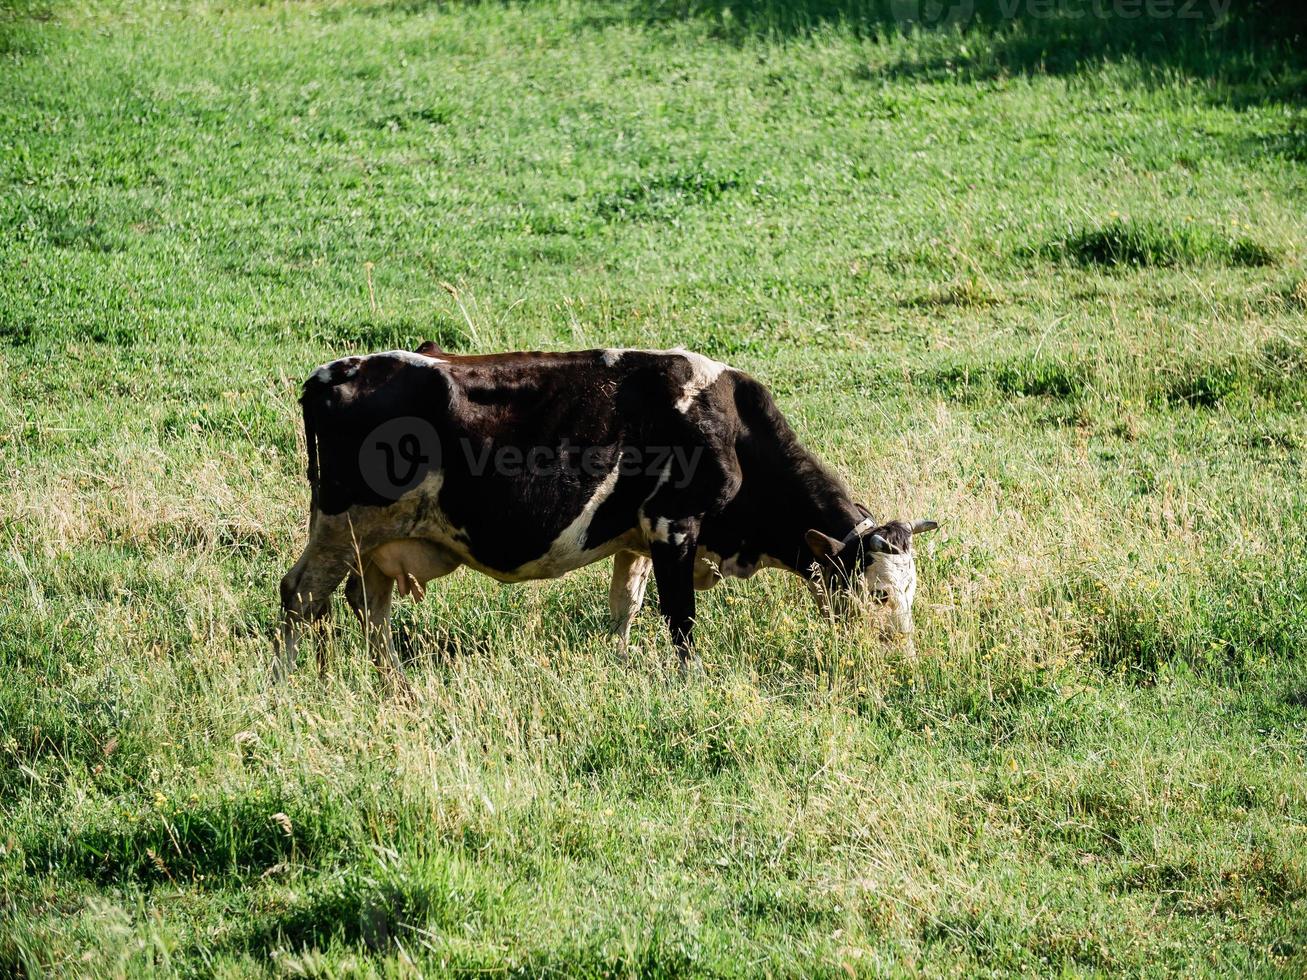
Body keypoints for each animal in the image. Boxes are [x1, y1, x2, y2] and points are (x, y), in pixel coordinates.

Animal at [275, 344, 935, 689]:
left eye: (912, 592)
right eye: (879, 595)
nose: (905, 658)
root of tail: (334, 373)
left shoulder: (636, 541)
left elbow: (626, 608)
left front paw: (619, 664)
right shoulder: (674, 527)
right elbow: (680, 618)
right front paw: (687, 680)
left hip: (375, 542)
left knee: (368, 604)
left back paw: (392, 679)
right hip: (340, 525)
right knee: (301, 595)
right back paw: (288, 677)